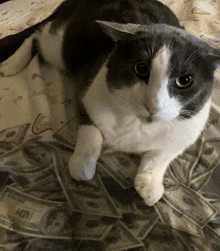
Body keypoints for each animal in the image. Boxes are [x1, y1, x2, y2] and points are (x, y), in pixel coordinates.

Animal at [0, 0, 220, 206]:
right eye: (141, 68)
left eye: (185, 80)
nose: (153, 105)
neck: (138, 124)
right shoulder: (88, 90)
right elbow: (91, 132)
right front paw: (83, 165)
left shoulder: (188, 131)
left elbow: (161, 155)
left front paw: (149, 184)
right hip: (61, 44)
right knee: (37, 35)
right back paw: (12, 64)